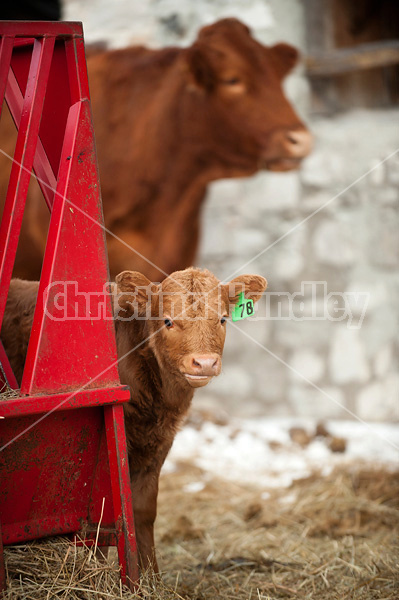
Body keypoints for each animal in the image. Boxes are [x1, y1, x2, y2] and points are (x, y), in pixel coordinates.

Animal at [1, 268, 268, 572]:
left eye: (222, 318)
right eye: (167, 321)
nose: (204, 363)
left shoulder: (160, 443)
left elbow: (142, 511)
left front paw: (152, 576)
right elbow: (105, 514)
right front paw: (102, 572)